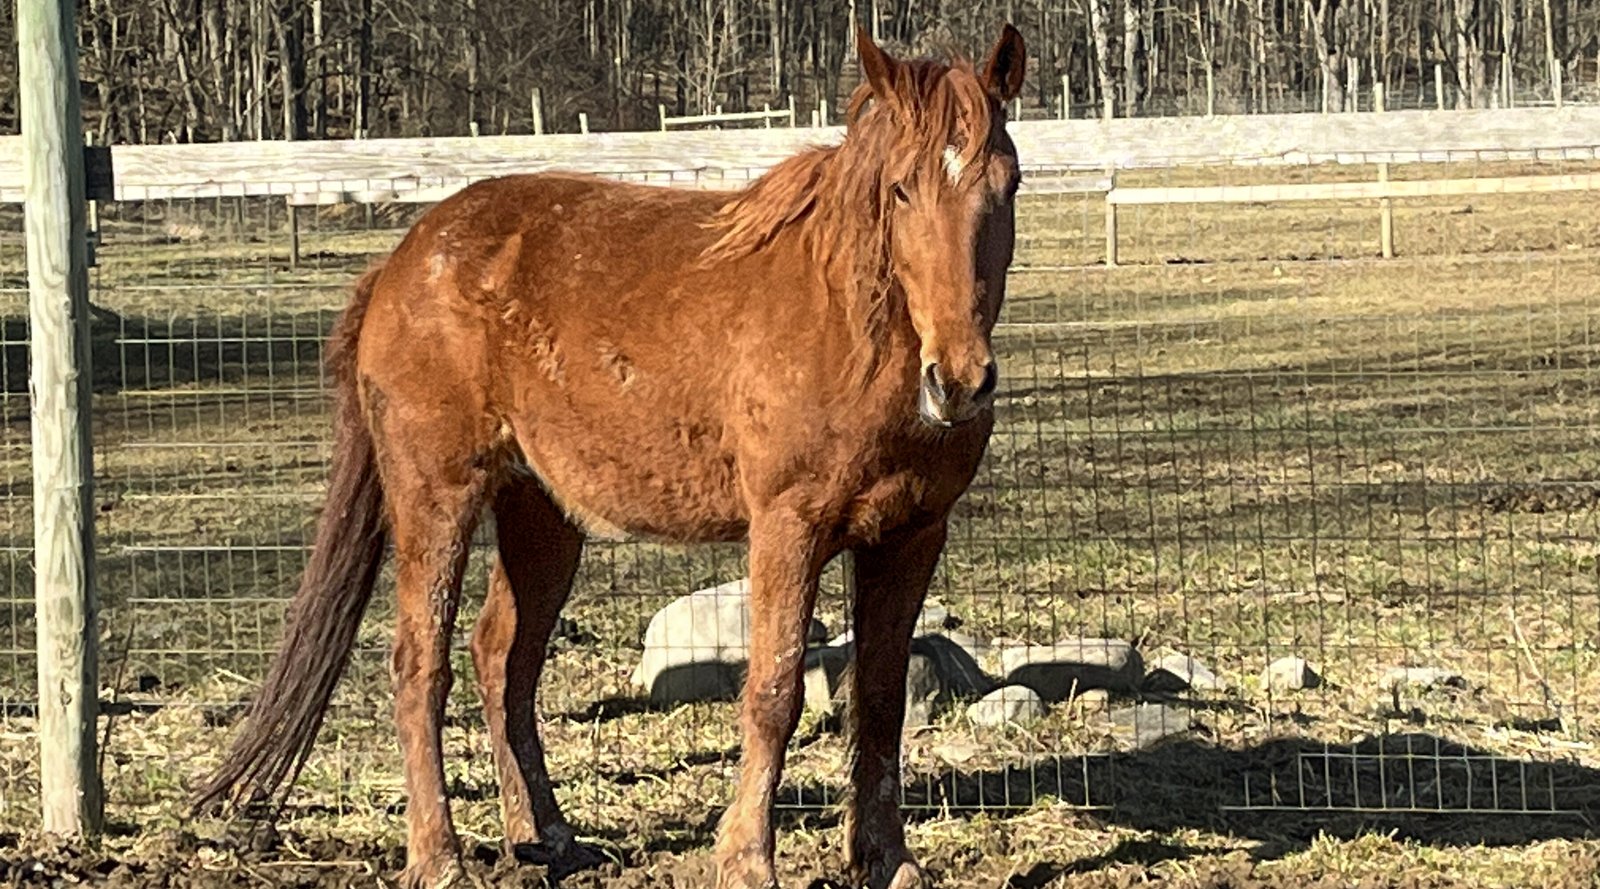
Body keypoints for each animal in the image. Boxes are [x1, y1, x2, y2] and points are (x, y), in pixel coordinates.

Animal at [193, 23, 1027, 889]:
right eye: (900, 190)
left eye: (1008, 183)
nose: (959, 380)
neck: (846, 328)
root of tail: (400, 264)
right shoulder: (787, 528)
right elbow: (773, 691)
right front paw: (746, 858)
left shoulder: (911, 535)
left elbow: (884, 697)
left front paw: (889, 859)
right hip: (435, 494)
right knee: (420, 663)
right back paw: (439, 855)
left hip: (541, 514)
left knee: (503, 659)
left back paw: (546, 837)